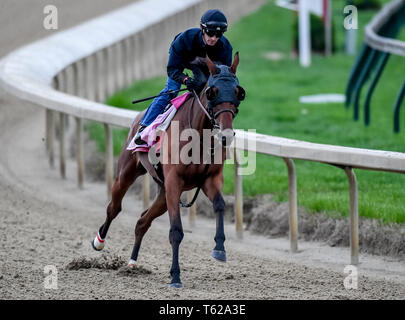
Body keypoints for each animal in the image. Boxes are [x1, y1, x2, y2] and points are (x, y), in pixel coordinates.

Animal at [91, 52, 245, 288]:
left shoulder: (209, 178)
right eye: (213, 92)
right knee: (114, 208)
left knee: (142, 221)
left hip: (163, 194)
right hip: (127, 173)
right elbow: (176, 231)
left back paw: (132, 262)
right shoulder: (174, 181)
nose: (226, 135)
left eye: (238, 92)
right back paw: (99, 241)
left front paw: (219, 249)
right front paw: (175, 276)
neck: (199, 137)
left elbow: (220, 204)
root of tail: (138, 116)